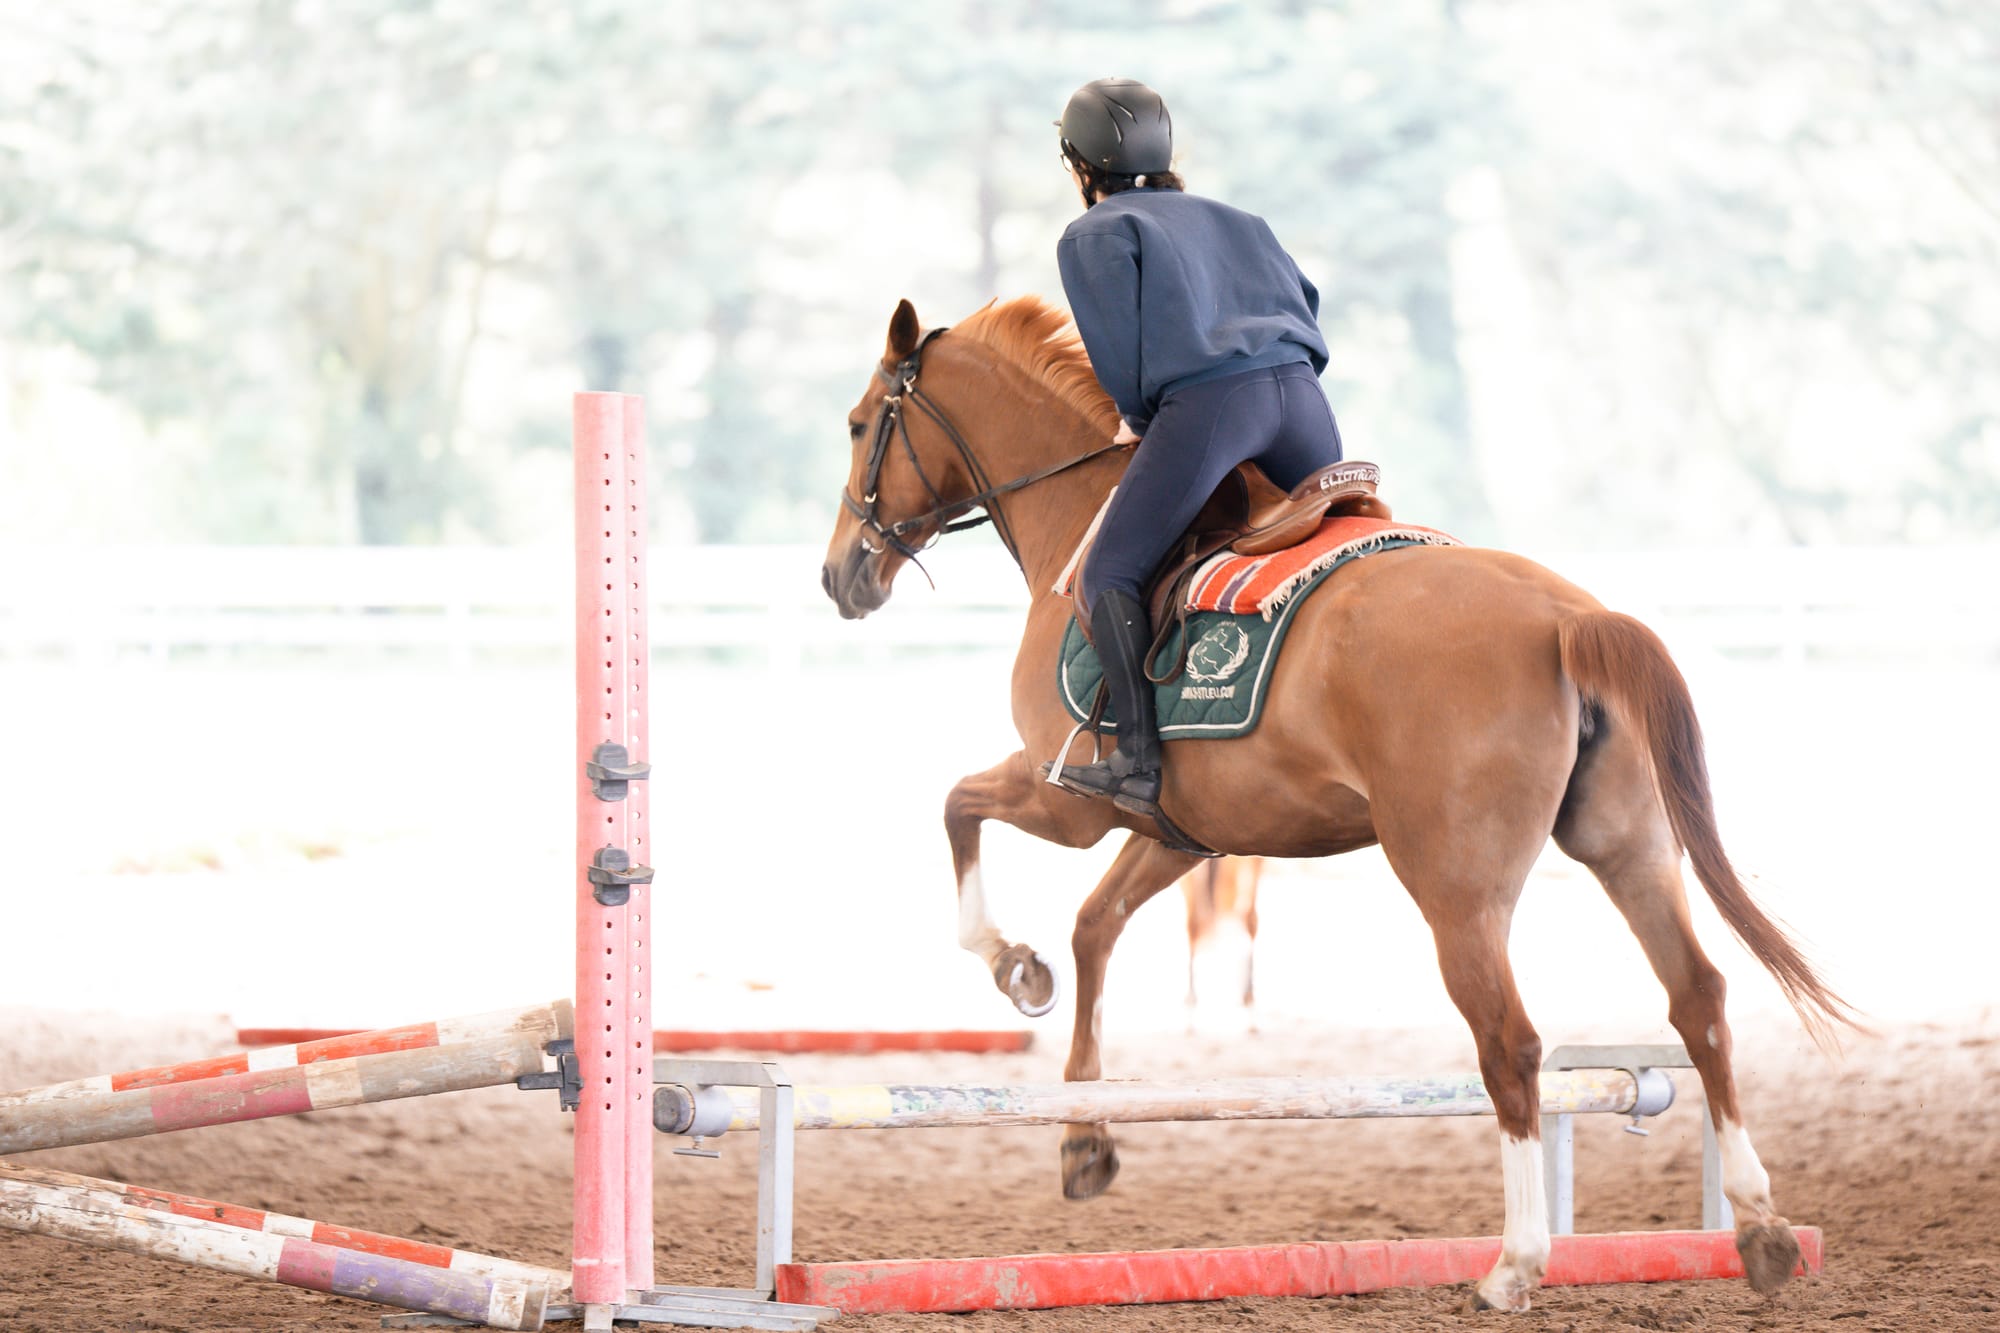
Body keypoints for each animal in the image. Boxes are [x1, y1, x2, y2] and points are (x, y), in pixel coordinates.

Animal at [819, 295, 1851, 1313]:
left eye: (862, 424)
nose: (839, 576)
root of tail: (1567, 616)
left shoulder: (1065, 796)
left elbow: (958, 809)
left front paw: (1011, 965)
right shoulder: (1183, 831)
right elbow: (1093, 926)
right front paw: (1084, 1134)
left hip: (1456, 891)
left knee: (1512, 1042)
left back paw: (1517, 1261)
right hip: (1629, 848)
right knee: (1699, 998)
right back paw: (1759, 1228)